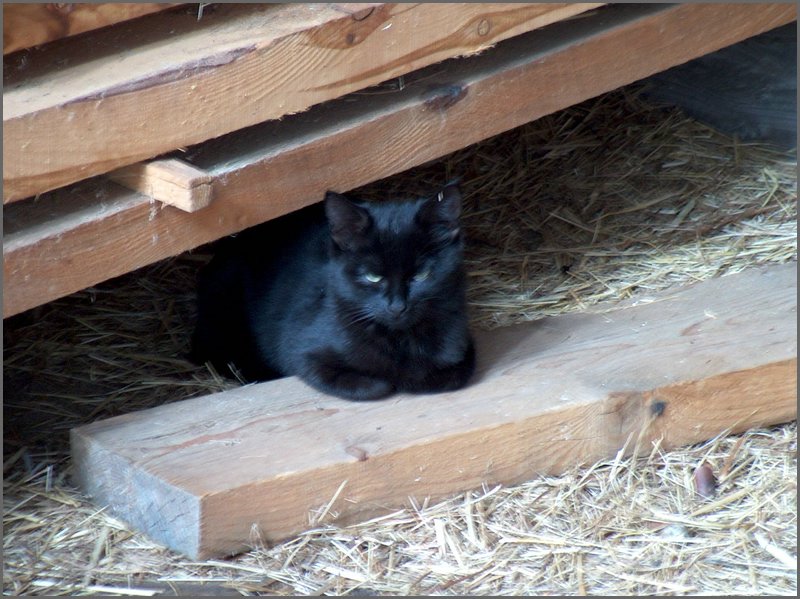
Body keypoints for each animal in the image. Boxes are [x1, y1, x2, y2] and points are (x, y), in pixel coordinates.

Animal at [192, 183, 476, 398]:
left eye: (421, 275)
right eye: (373, 276)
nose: (397, 306)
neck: (399, 341)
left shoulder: (463, 344)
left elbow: (448, 375)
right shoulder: (302, 353)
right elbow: (372, 386)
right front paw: (389, 380)